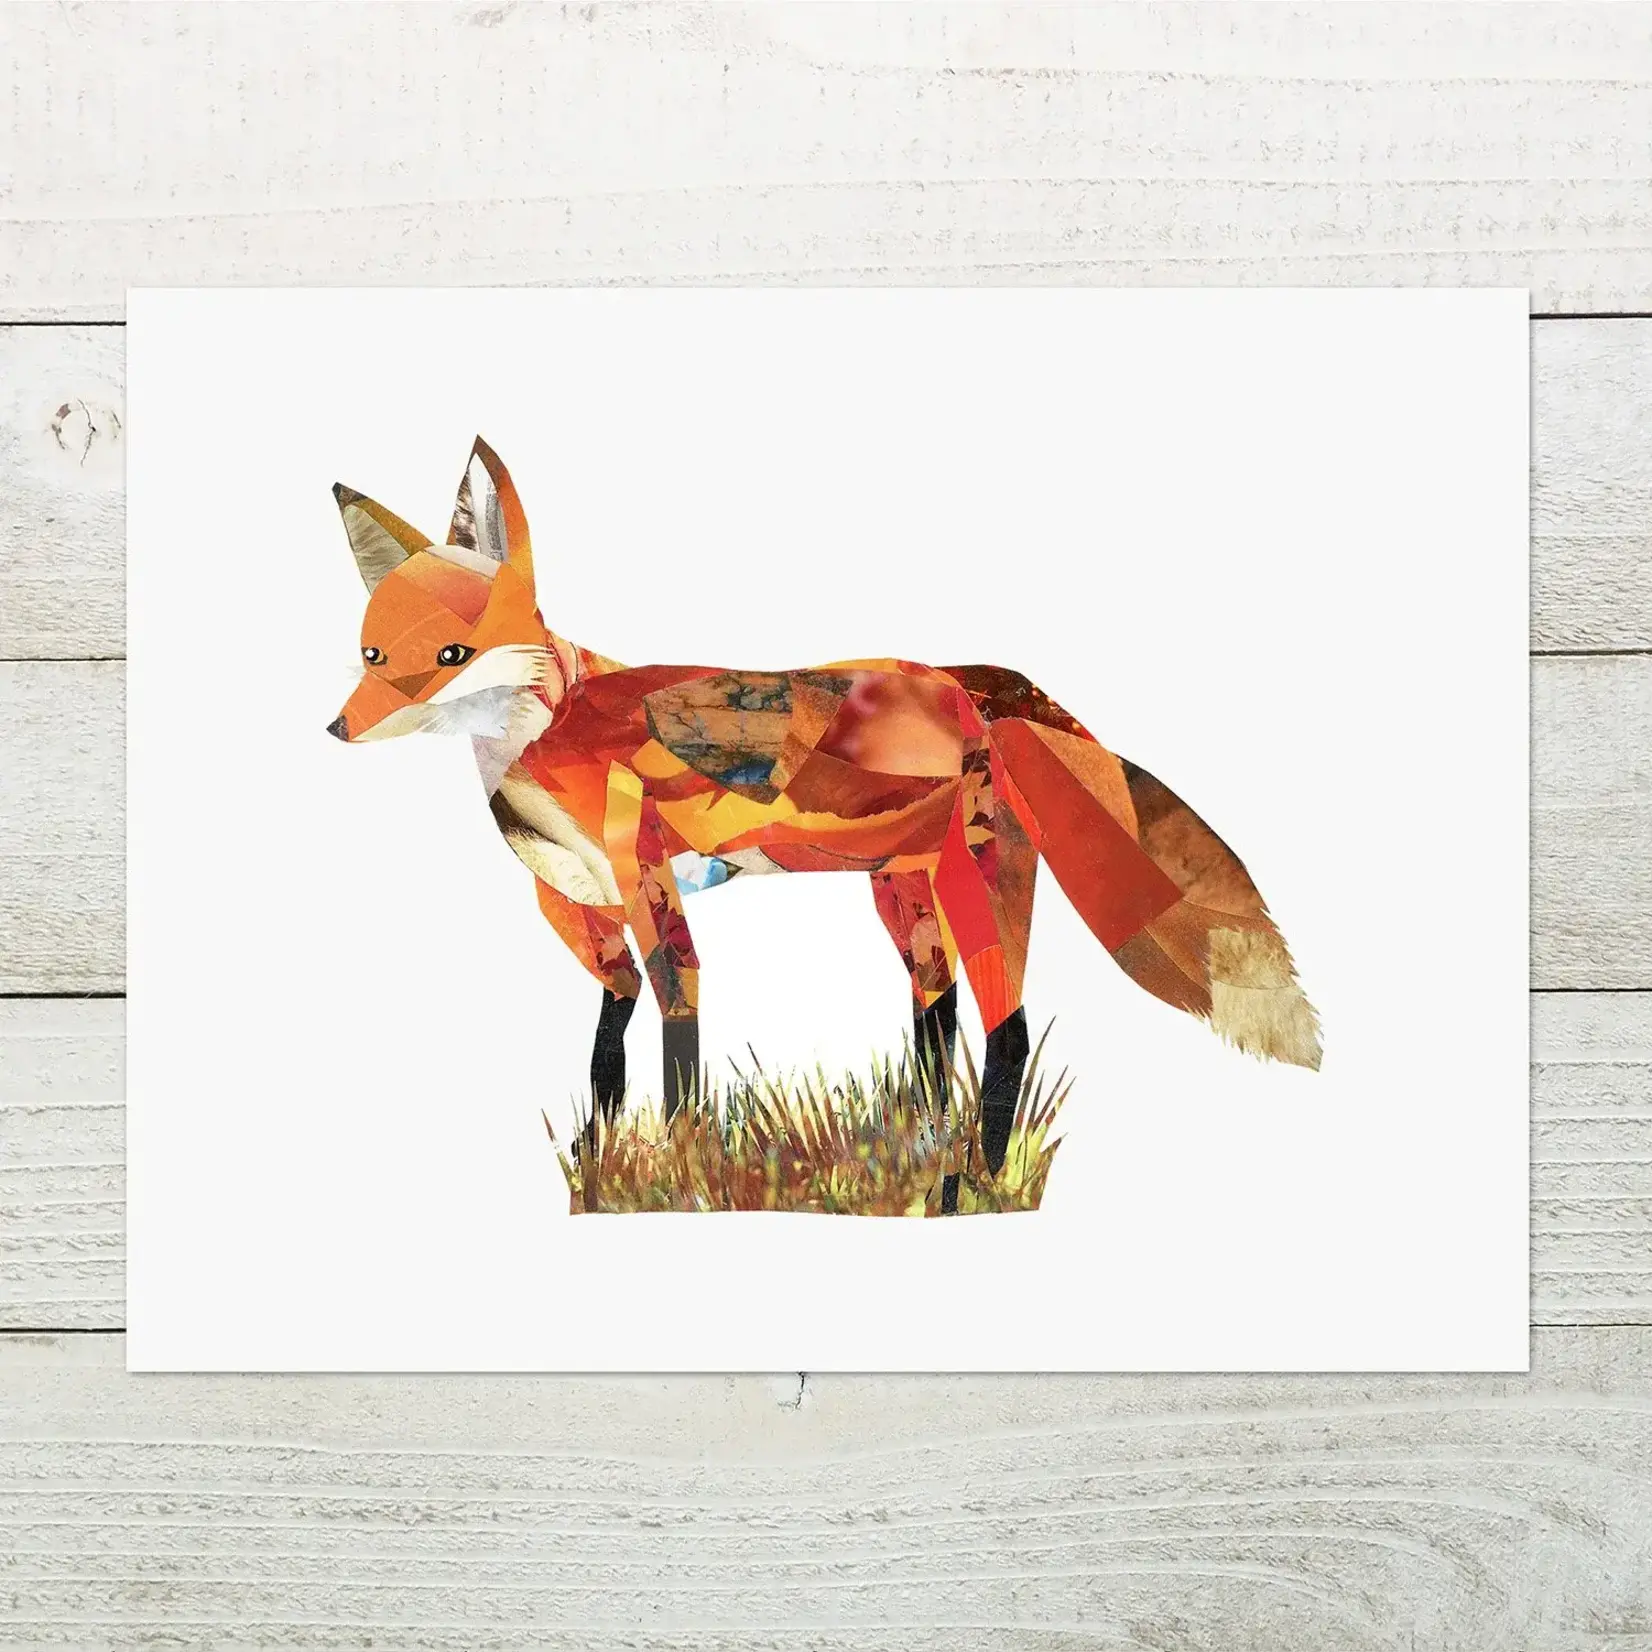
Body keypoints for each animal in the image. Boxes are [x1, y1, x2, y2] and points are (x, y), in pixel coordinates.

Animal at [328, 438, 1320, 1211]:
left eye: (451, 654)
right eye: (371, 655)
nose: (336, 728)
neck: (548, 728)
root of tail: (971, 679)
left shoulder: (650, 892)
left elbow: (676, 1035)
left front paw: (677, 1167)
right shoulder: (579, 912)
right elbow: (608, 1050)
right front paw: (596, 1156)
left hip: (971, 879)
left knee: (1007, 1030)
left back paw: (970, 1180)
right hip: (902, 893)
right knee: (935, 1012)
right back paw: (920, 1143)